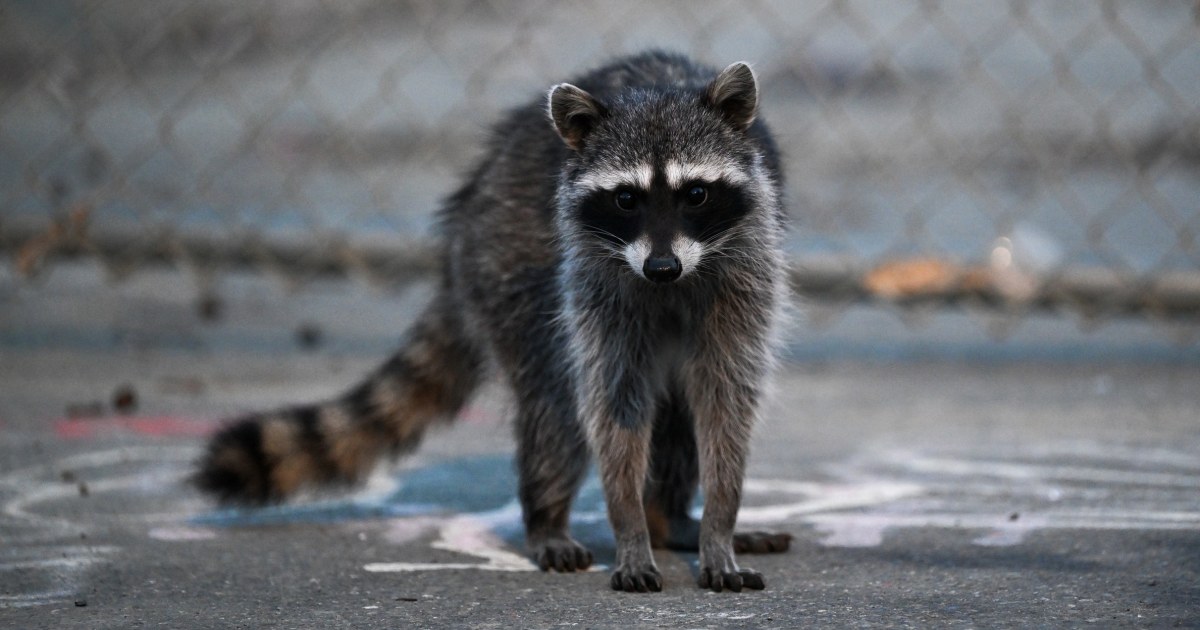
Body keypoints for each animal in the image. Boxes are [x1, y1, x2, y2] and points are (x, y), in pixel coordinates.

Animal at [199, 50, 787, 590]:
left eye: (696, 194)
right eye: (626, 198)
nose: (661, 267)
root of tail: (471, 201)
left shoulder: (748, 271)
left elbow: (724, 399)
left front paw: (718, 525)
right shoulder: (594, 282)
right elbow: (612, 403)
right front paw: (629, 528)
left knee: (676, 408)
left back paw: (670, 519)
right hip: (510, 261)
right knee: (555, 402)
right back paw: (552, 519)